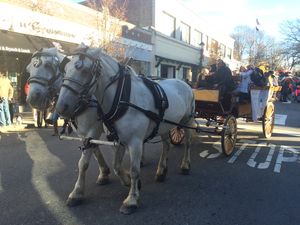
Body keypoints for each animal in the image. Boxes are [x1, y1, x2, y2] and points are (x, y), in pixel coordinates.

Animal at [24, 47, 113, 206]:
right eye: (29, 69)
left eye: (48, 65)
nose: (32, 98)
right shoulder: (85, 134)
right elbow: (95, 151)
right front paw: (104, 173)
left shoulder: (92, 129)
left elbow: (83, 163)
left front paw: (77, 192)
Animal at [55, 44, 196, 214]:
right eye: (65, 68)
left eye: (84, 70)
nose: (61, 107)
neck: (121, 97)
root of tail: (184, 83)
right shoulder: (115, 138)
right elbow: (110, 165)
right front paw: (77, 193)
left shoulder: (134, 142)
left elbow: (134, 169)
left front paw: (131, 199)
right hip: (163, 125)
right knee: (166, 145)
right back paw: (161, 171)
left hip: (187, 120)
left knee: (188, 143)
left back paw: (185, 165)